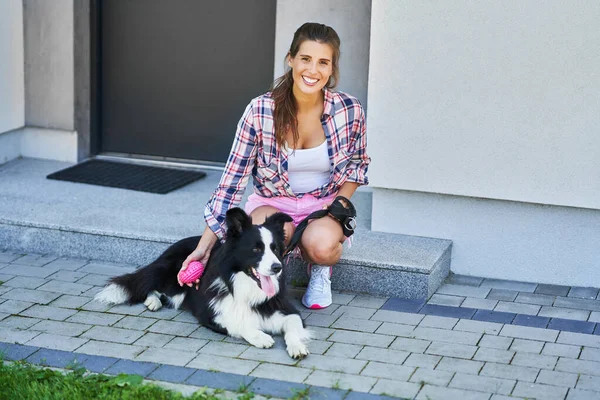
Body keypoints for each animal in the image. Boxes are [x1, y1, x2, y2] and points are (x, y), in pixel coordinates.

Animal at [96, 208, 312, 358]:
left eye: (275, 249)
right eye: (256, 249)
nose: (277, 267)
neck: (245, 288)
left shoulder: (287, 310)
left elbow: (293, 329)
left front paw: (297, 346)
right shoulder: (210, 314)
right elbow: (238, 324)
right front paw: (261, 337)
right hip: (174, 280)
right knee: (149, 285)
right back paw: (152, 301)